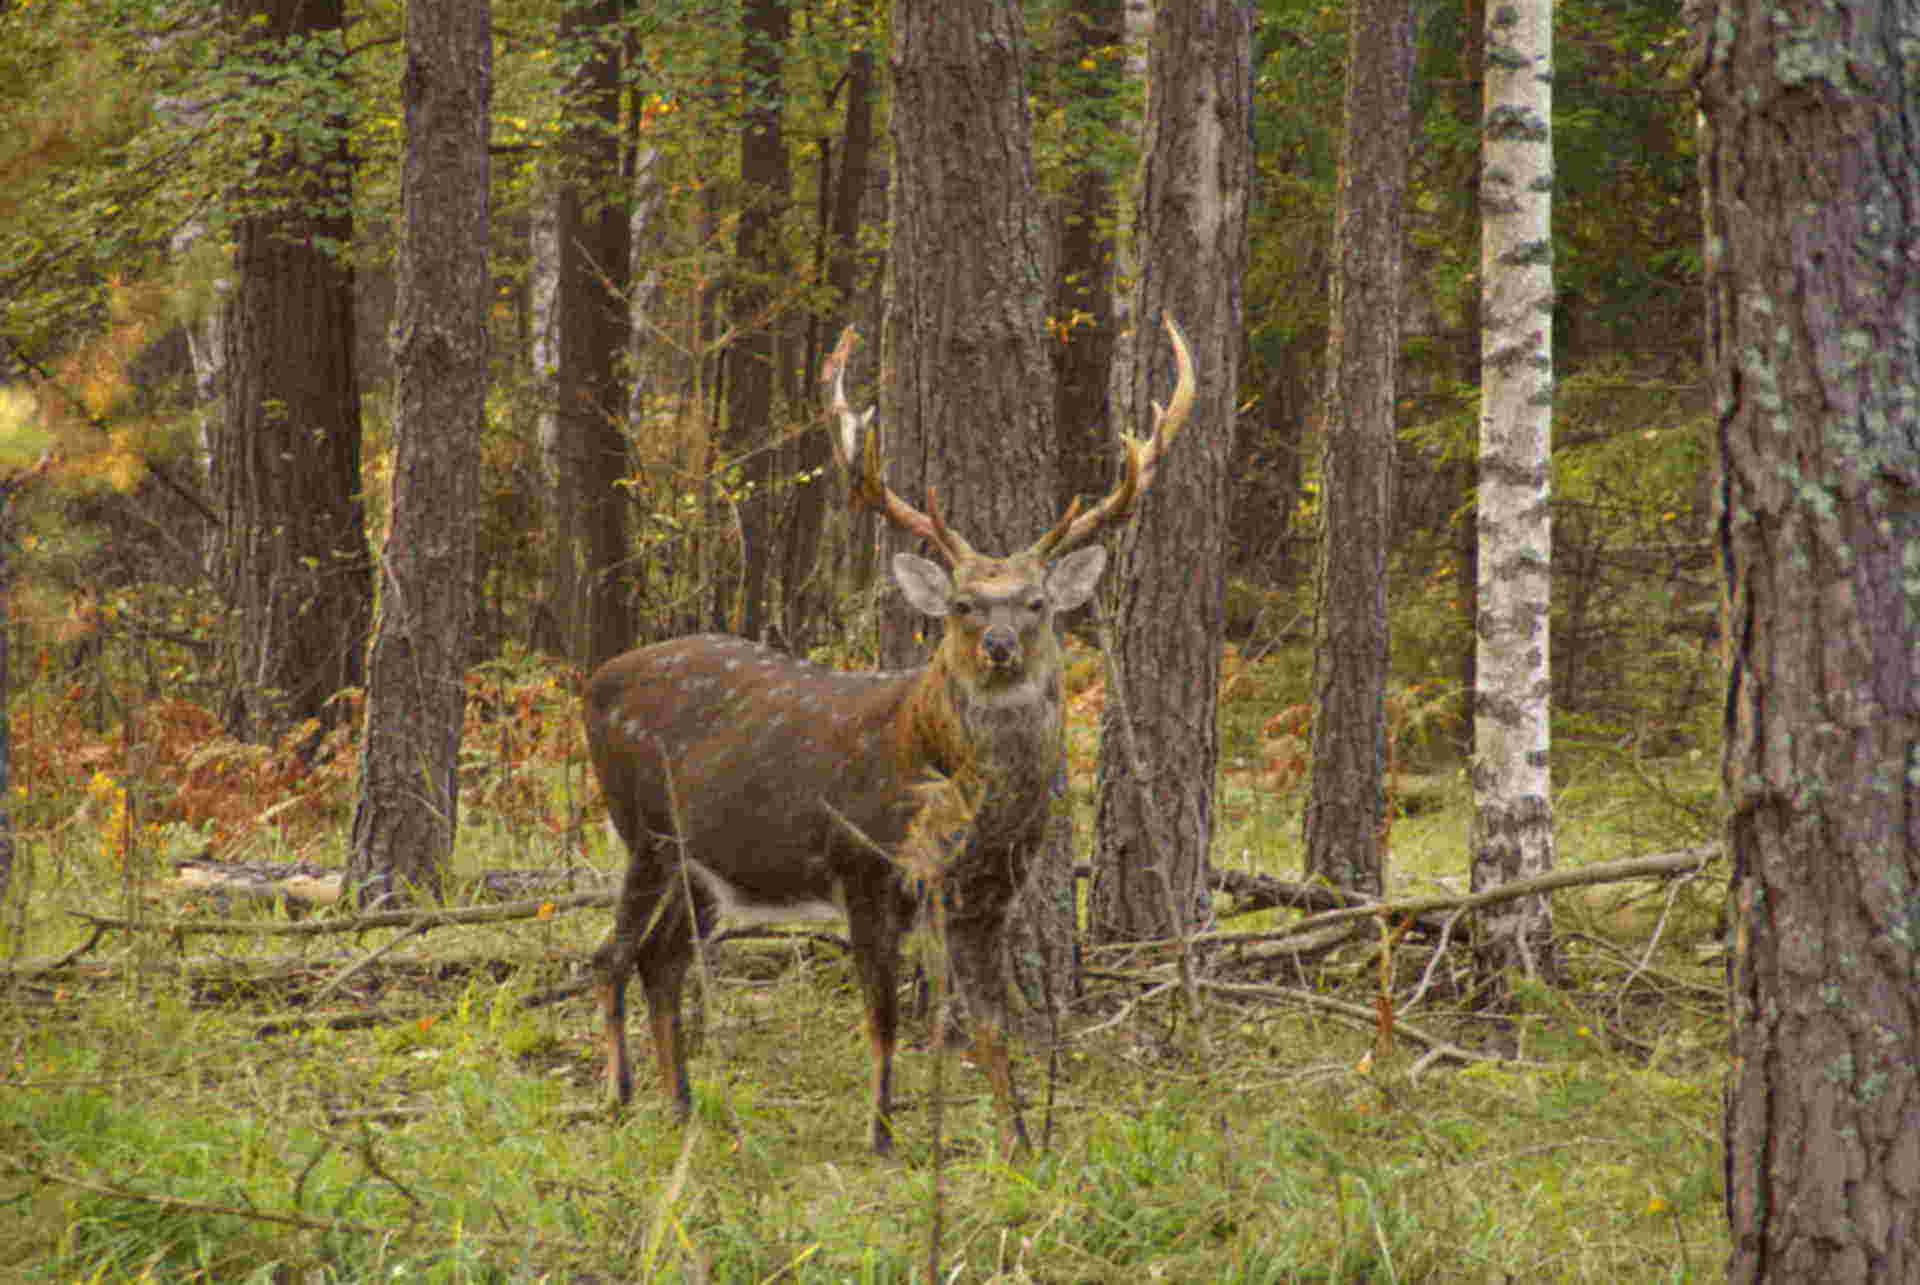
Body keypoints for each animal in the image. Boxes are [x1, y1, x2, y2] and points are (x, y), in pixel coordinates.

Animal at [583, 311, 1190, 1152]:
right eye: (964, 603)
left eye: (1035, 602)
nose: (998, 644)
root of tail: (592, 680)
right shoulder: (864, 868)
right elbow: (884, 1018)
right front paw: (880, 1133)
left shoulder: (985, 896)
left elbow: (989, 1026)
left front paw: (1019, 1139)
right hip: (645, 830)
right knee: (609, 954)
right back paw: (618, 1092)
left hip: (703, 865)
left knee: (659, 958)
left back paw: (680, 1103)